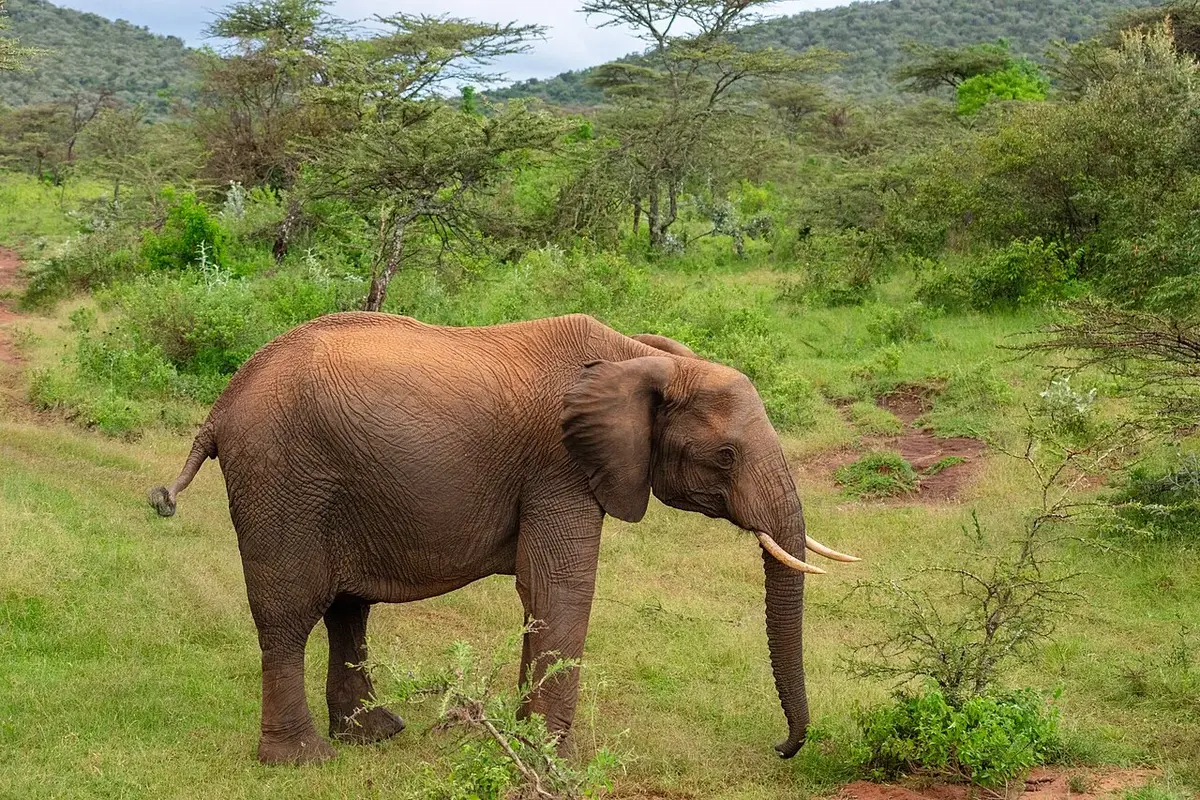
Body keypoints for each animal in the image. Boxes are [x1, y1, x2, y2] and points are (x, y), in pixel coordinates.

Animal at [149, 312, 858, 765]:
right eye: (728, 454)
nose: (781, 749)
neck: (640, 357)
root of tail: (220, 406)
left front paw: (528, 744)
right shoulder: (559, 465)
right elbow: (558, 588)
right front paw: (551, 759)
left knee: (348, 611)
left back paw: (374, 737)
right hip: (282, 480)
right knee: (290, 614)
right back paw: (302, 761)